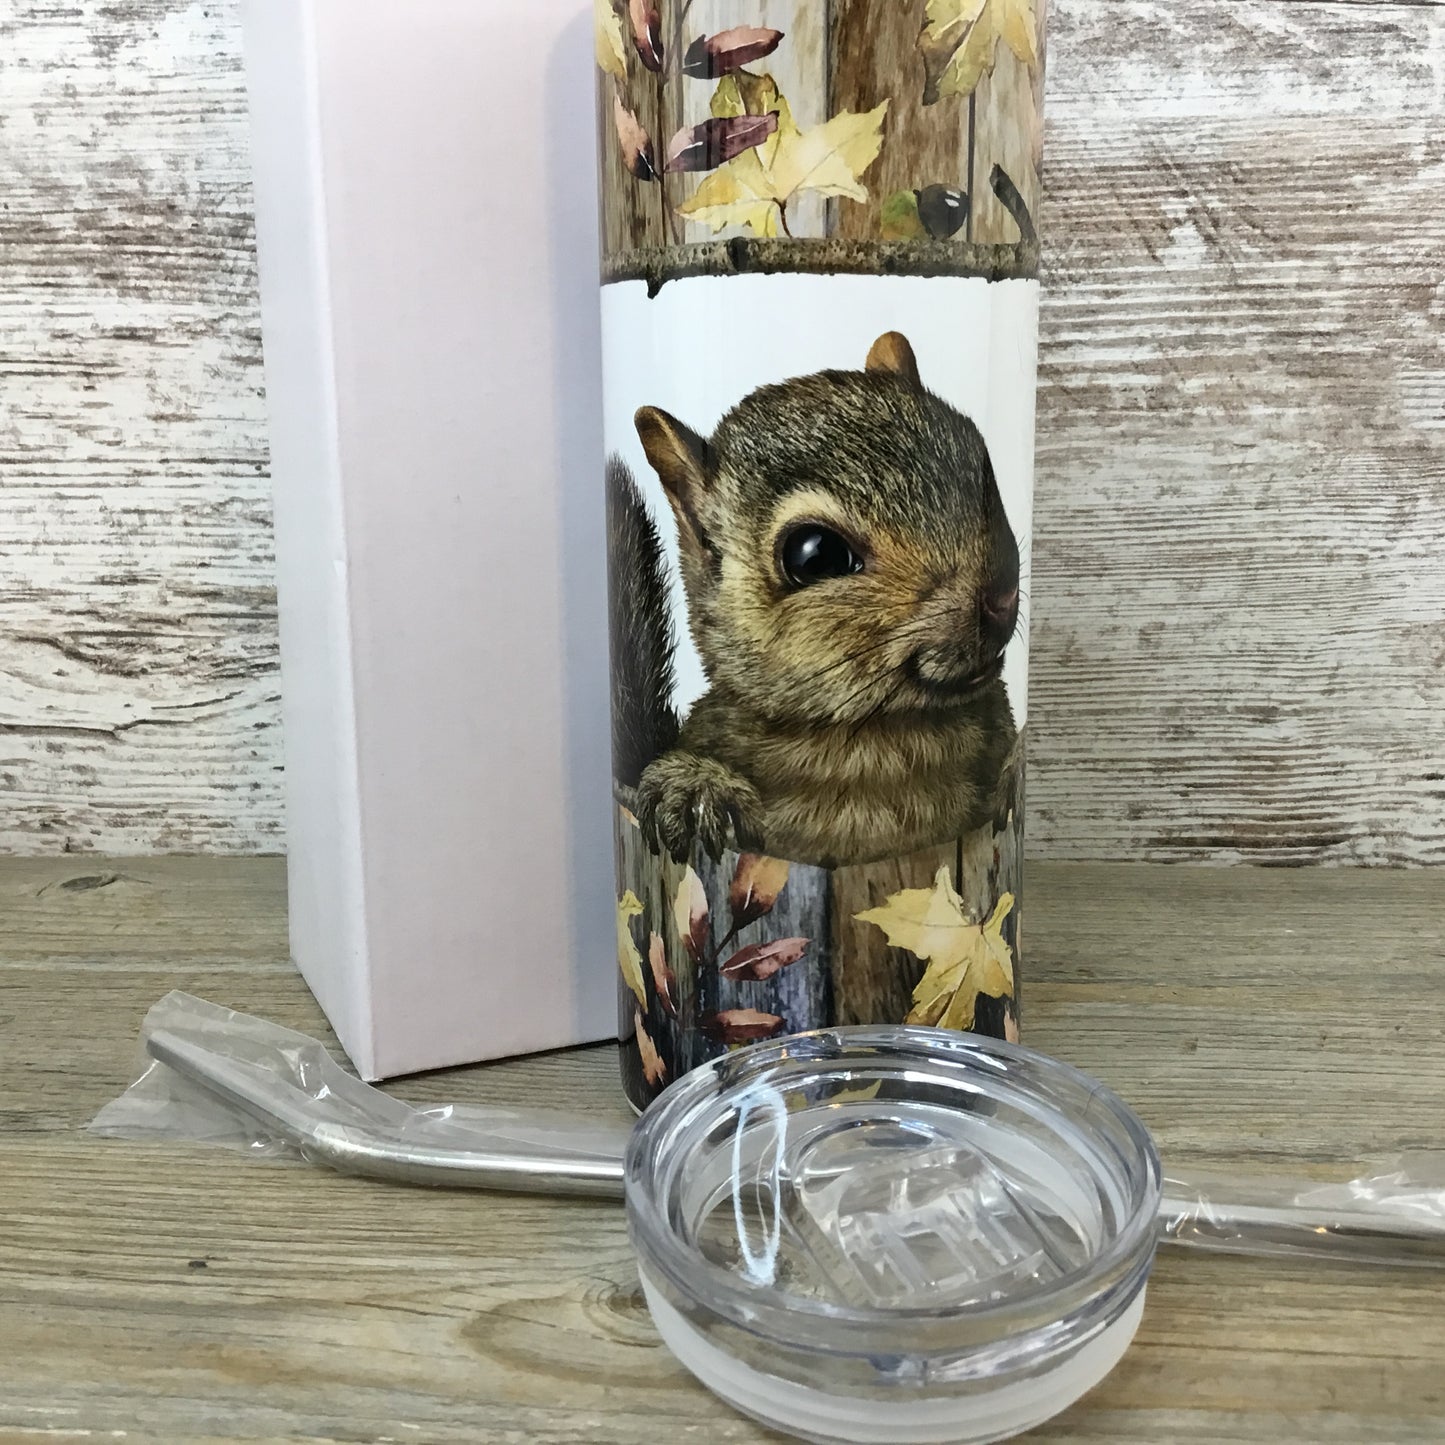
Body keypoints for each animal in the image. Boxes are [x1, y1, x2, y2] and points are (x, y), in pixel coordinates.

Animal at [608, 330, 1020, 870]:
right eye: (816, 555)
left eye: (983, 468)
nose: (1001, 596)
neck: (874, 740)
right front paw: (692, 792)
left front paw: (1013, 776)